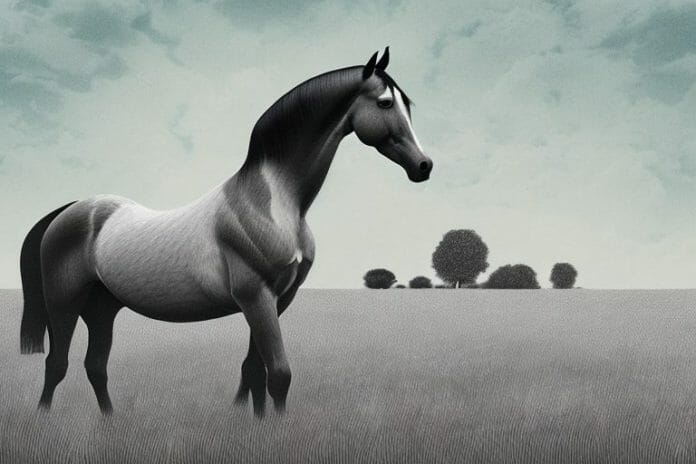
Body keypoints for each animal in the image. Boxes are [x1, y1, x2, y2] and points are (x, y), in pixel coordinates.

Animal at [19, 47, 432, 417]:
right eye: (384, 103)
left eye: (407, 105)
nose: (424, 166)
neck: (272, 202)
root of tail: (70, 211)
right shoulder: (255, 296)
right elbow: (279, 374)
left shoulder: (277, 299)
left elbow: (254, 371)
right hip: (65, 303)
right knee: (57, 364)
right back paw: (43, 419)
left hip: (102, 309)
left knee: (95, 366)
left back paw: (109, 422)